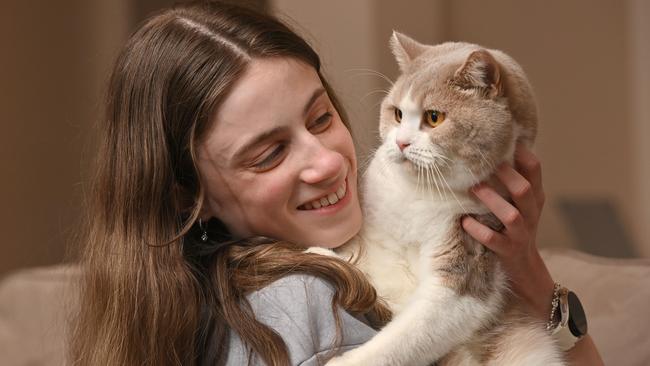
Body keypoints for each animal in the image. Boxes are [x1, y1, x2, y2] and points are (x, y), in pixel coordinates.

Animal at [322, 33, 560, 364]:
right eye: (397, 114)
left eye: (434, 118)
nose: (401, 142)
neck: (419, 193)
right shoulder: (379, 244)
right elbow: (360, 264)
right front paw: (319, 252)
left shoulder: (464, 275)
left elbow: (405, 337)